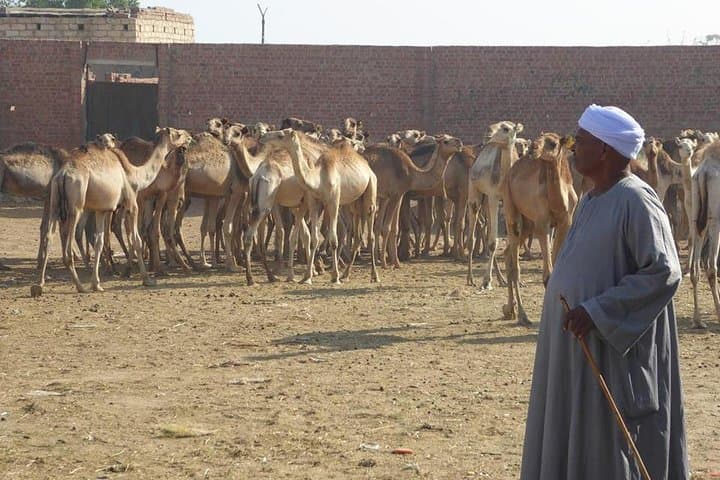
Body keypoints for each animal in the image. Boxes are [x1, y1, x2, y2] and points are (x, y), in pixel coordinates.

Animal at [35, 127, 191, 295]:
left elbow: (100, 241)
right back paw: (79, 286)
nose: (188, 138)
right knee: (69, 243)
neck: (134, 173)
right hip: (75, 206)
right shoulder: (132, 202)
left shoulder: (101, 210)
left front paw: (97, 284)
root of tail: (62, 175)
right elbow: (135, 238)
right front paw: (147, 279)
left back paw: (39, 285)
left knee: (48, 237)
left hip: (54, 203)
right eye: (177, 134)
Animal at [261, 129, 379, 284]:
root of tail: (368, 167)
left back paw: (374, 276)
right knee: (358, 234)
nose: (263, 136)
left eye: (281, 135)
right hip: (354, 203)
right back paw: (346, 274)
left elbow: (334, 239)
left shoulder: (334, 201)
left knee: (370, 234)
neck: (318, 178)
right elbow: (314, 239)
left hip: (371, 190)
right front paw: (307, 277)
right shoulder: (314, 202)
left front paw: (334, 276)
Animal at [466, 121, 524, 289]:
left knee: (487, 229)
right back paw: (471, 278)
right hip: (475, 194)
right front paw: (486, 281)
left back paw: (501, 279)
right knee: (474, 234)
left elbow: (514, 237)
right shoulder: (493, 196)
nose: (487, 132)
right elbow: (493, 241)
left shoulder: (511, 201)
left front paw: (518, 280)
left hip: (487, 201)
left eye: (506, 128)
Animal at [502, 133, 577, 325]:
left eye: (553, 143)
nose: (532, 148)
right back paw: (522, 315)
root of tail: (510, 172)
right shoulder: (543, 224)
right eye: (539, 138)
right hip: (512, 211)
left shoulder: (566, 222)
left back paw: (509, 310)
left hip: (527, 224)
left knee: (507, 253)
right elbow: (548, 276)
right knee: (515, 265)